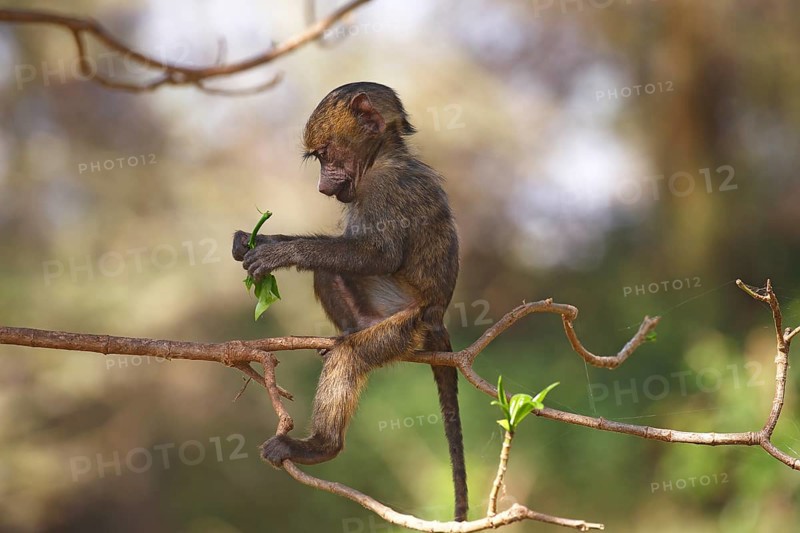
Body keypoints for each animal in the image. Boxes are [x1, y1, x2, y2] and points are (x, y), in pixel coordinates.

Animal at [231, 82, 467, 521]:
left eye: (326, 154)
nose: (323, 187)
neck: (382, 157)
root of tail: (437, 316)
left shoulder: (385, 188)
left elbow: (380, 255)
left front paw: (278, 254)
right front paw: (258, 240)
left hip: (406, 324)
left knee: (353, 354)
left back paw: (320, 445)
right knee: (328, 271)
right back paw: (349, 330)